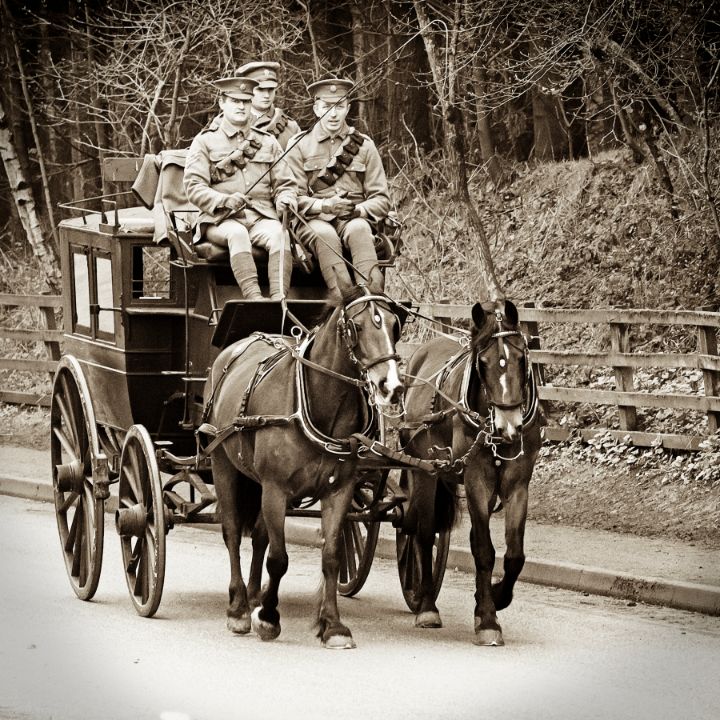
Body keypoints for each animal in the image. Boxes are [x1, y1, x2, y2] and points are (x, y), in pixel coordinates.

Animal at [202, 274, 404, 648]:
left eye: (395, 325)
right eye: (356, 326)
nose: (391, 386)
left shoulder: (339, 490)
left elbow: (332, 556)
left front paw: (333, 625)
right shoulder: (276, 488)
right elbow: (279, 559)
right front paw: (268, 617)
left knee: (260, 536)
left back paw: (254, 595)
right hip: (224, 465)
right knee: (233, 533)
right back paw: (239, 607)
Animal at [400, 298, 540, 648]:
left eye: (521, 358)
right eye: (484, 362)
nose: (508, 427)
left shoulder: (518, 484)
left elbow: (513, 554)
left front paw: (494, 598)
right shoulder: (477, 479)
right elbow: (484, 551)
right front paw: (488, 619)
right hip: (425, 472)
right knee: (423, 534)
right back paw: (426, 606)